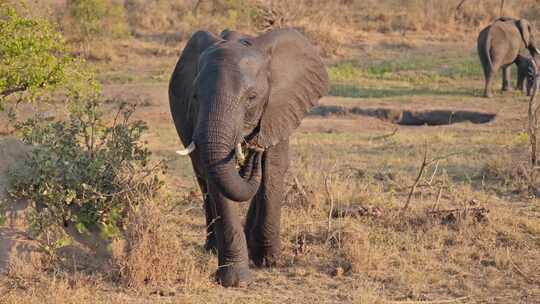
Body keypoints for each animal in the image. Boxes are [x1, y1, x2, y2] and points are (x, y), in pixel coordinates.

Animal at [169, 27, 330, 286]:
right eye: (194, 97)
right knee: (202, 178)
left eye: (252, 97)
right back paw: (212, 248)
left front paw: (268, 261)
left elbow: (273, 169)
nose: (252, 149)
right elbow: (217, 181)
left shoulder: (278, 108)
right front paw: (235, 281)